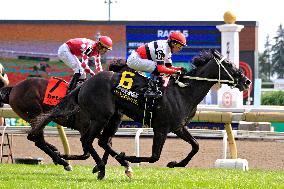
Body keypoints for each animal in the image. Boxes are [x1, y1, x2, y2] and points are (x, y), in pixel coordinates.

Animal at [31, 49, 251, 179]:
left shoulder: (178, 126)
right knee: (88, 141)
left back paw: (111, 164)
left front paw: (175, 164)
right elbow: (154, 156)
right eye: (229, 65)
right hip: (101, 116)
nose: (246, 81)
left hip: (115, 117)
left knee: (101, 141)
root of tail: (83, 85)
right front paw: (130, 158)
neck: (183, 91)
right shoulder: (161, 127)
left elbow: (195, 146)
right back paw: (102, 166)